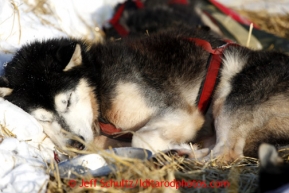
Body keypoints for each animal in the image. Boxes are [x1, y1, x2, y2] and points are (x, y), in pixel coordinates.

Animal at [0, 24, 288, 161]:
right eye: (43, 118)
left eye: (68, 101)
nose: (76, 144)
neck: (99, 90)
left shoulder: (182, 113)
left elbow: (140, 138)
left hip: (232, 100)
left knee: (225, 152)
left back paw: (184, 154)